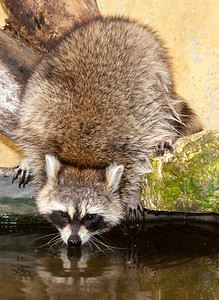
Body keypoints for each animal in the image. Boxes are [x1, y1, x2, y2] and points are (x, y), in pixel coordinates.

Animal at [13, 15, 203, 247]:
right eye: (63, 214)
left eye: (90, 217)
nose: (74, 242)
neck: (82, 162)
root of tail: (117, 21)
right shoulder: (41, 127)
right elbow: (32, 139)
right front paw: (28, 160)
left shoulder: (131, 138)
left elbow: (140, 163)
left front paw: (133, 194)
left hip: (156, 72)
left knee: (161, 109)